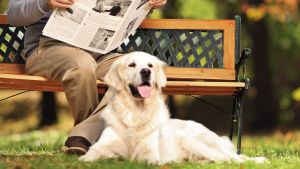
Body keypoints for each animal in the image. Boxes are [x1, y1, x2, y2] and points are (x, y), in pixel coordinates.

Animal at [78, 52, 266, 164]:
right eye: (131, 65)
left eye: (150, 65)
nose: (146, 71)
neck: (136, 112)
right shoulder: (101, 146)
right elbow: (89, 156)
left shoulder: (151, 154)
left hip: (195, 141)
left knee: (235, 158)